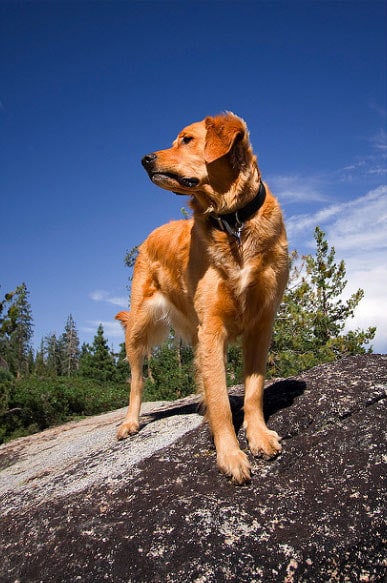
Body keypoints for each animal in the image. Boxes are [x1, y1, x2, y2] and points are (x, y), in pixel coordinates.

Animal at [116, 112, 290, 486]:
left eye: (186, 139)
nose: (144, 159)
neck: (234, 222)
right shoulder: (211, 330)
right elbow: (220, 401)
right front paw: (230, 455)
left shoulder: (261, 324)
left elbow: (254, 389)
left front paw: (258, 435)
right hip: (137, 327)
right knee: (137, 380)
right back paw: (130, 422)